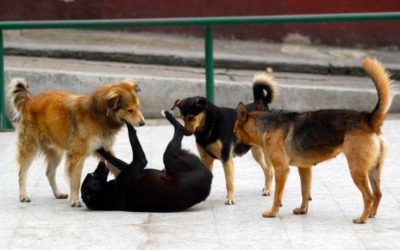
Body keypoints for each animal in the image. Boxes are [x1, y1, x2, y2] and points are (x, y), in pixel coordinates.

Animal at [7, 78, 145, 207]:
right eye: (130, 110)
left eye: (138, 107)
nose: (143, 123)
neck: (97, 115)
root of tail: (30, 100)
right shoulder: (78, 155)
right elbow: (76, 179)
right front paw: (75, 200)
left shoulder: (105, 150)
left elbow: (117, 168)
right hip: (30, 148)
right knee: (22, 173)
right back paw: (23, 195)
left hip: (56, 154)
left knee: (49, 173)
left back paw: (58, 193)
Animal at [81, 110, 212, 212]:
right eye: (93, 175)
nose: (101, 163)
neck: (110, 193)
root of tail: (209, 179)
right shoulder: (139, 161)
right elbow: (132, 134)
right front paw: (128, 121)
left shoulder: (131, 167)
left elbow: (113, 158)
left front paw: (100, 150)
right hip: (170, 155)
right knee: (179, 129)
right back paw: (168, 115)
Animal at [171, 73, 278, 204]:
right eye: (181, 118)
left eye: (191, 117)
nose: (185, 133)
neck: (210, 125)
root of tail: (261, 103)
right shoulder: (206, 159)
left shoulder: (226, 159)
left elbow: (229, 182)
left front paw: (230, 199)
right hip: (256, 152)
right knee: (266, 170)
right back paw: (266, 187)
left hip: (265, 151)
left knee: (270, 170)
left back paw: (268, 190)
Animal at [233, 58, 392, 223]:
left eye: (235, 133)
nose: (233, 152)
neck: (266, 125)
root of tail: (368, 120)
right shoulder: (304, 169)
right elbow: (305, 192)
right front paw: (303, 209)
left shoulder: (281, 170)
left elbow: (277, 196)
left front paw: (272, 212)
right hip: (373, 170)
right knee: (378, 193)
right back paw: (371, 214)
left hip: (357, 171)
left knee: (369, 196)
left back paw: (362, 218)